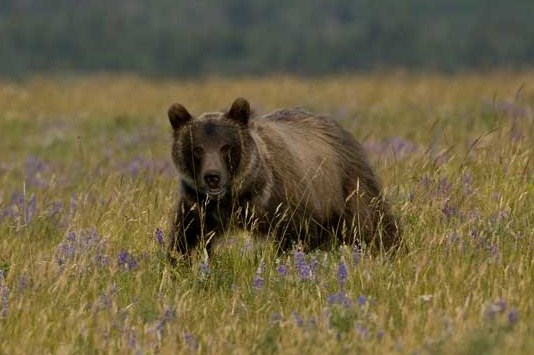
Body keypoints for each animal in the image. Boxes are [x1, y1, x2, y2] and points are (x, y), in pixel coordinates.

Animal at [169, 97, 402, 264]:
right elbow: (186, 241)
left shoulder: (284, 204)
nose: (213, 177)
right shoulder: (197, 208)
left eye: (226, 147)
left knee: (371, 222)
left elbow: (292, 238)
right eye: (197, 149)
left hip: (346, 184)